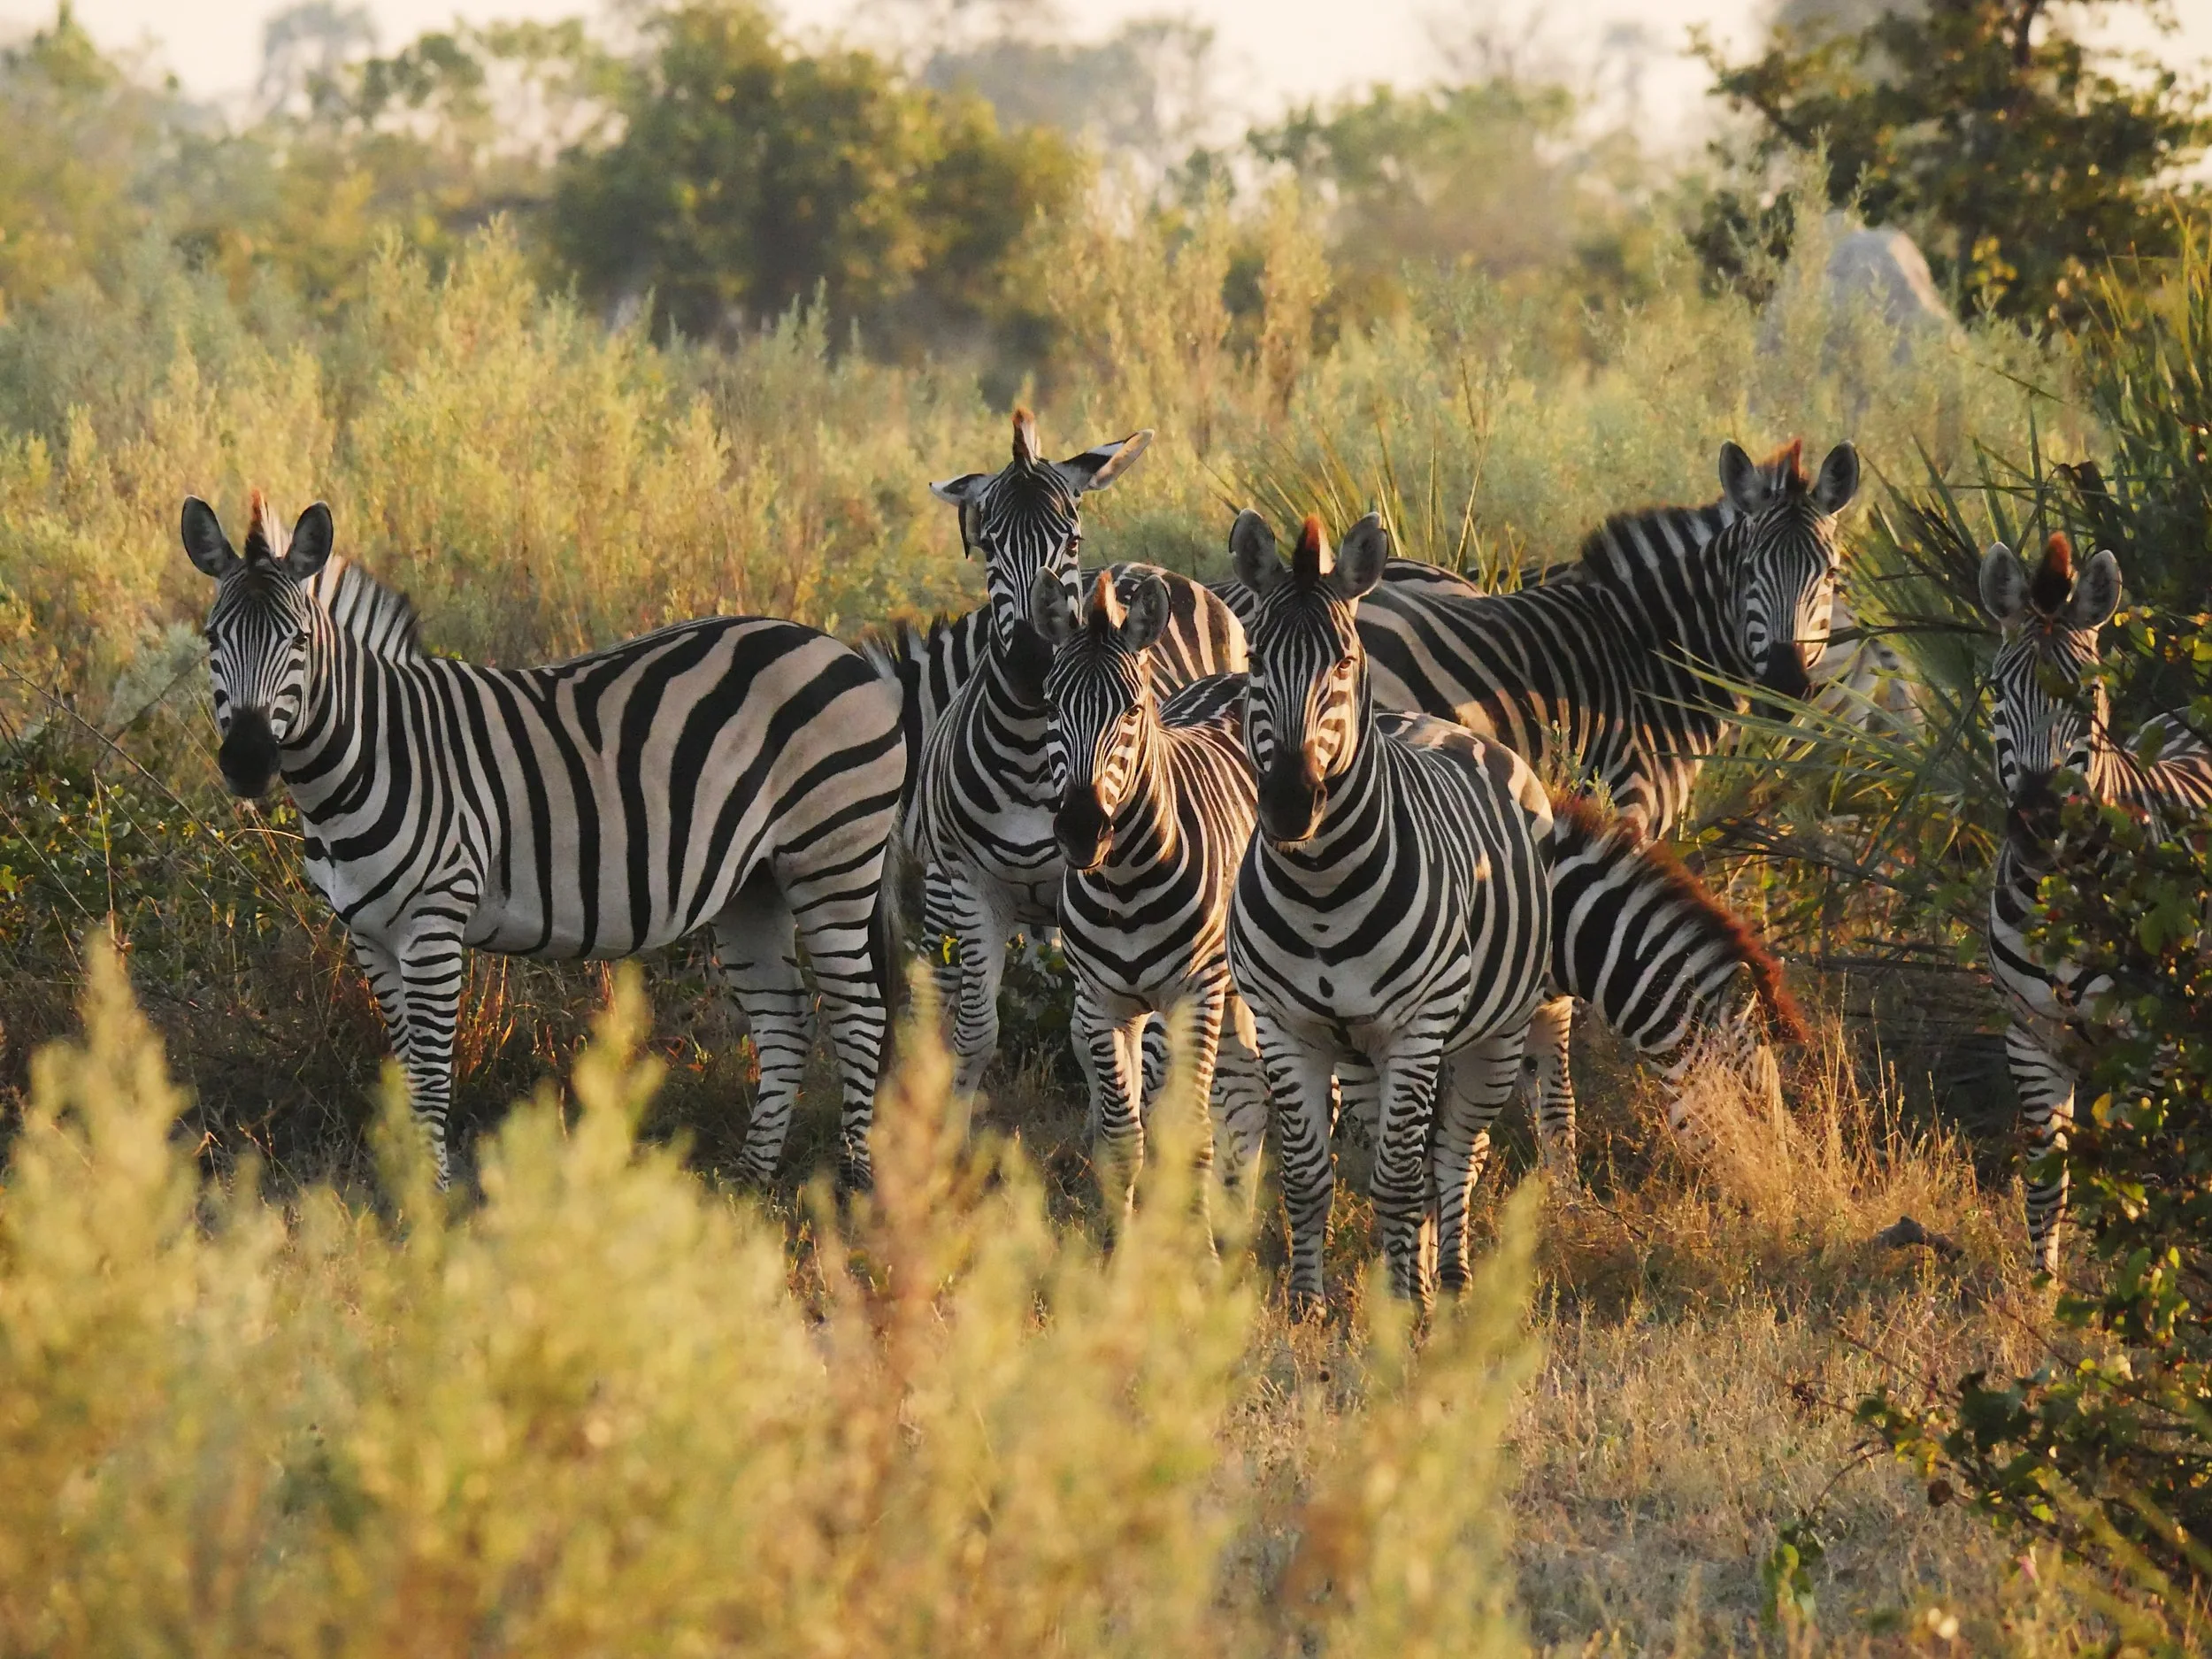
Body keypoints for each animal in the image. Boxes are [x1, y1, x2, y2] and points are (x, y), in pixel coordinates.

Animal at [183, 491, 905, 1191]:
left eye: (299, 640)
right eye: (213, 637)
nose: (247, 760)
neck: (371, 754)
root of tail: (842, 652)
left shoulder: (434, 921)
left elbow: (432, 1075)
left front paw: (433, 1200)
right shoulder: (368, 932)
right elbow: (408, 1071)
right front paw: (410, 1194)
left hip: (832, 861)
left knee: (860, 1015)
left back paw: (857, 1183)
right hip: (753, 887)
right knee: (786, 1020)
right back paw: (749, 1182)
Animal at [905, 410, 1246, 1097]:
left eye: (1072, 536)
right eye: (988, 545)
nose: (1034, 660)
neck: (1032, 756)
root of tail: (1152, 567)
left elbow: (1094, 1043)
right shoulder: (975, 888)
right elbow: (975, 1036)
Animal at [1029, 567, 1269, 1212]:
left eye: (1133, 710)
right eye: (1051, 705)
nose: (1081, 829)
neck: (1123, 886)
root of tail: (1237, 678)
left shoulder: (1194, 996)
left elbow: (1190, 1133)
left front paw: (1196, 1241)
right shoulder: (1106, 1004)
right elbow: (1122, 1142)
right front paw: (1122, 1238)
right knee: (1244, 1110)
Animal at [1977, 532, 2212, 1272]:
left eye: (2090, 692)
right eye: (1997, 691)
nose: (2038, 821)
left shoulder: (2150, 1048)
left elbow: (2137, 1185)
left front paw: (2135, 1280)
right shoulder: (2030, 1038)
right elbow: (2045, 1185)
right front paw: (2042, 1290)